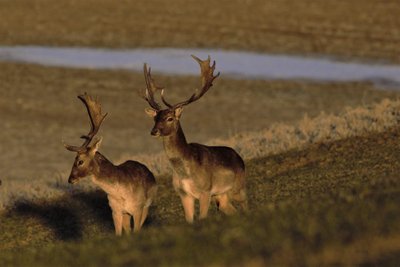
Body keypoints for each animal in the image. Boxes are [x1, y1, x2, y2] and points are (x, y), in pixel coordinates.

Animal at [64, 93, 156, 236]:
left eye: (80, 161)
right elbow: (118, 234)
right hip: (126, 214)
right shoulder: (115, 211)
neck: (120, 193)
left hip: (147, 205)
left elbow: (137, 230)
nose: (70, 179)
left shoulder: (138, 208)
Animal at [141, 55, 247, 224]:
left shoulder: (206, 190)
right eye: (155, 118)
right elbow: (189, 220)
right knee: (232, 210)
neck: (185, 171)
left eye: (170, 118)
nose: (154, 131)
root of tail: (239, 157)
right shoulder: (183, 194)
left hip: (239, 187)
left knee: (246, 206)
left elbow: (202, 217)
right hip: (221, 195)